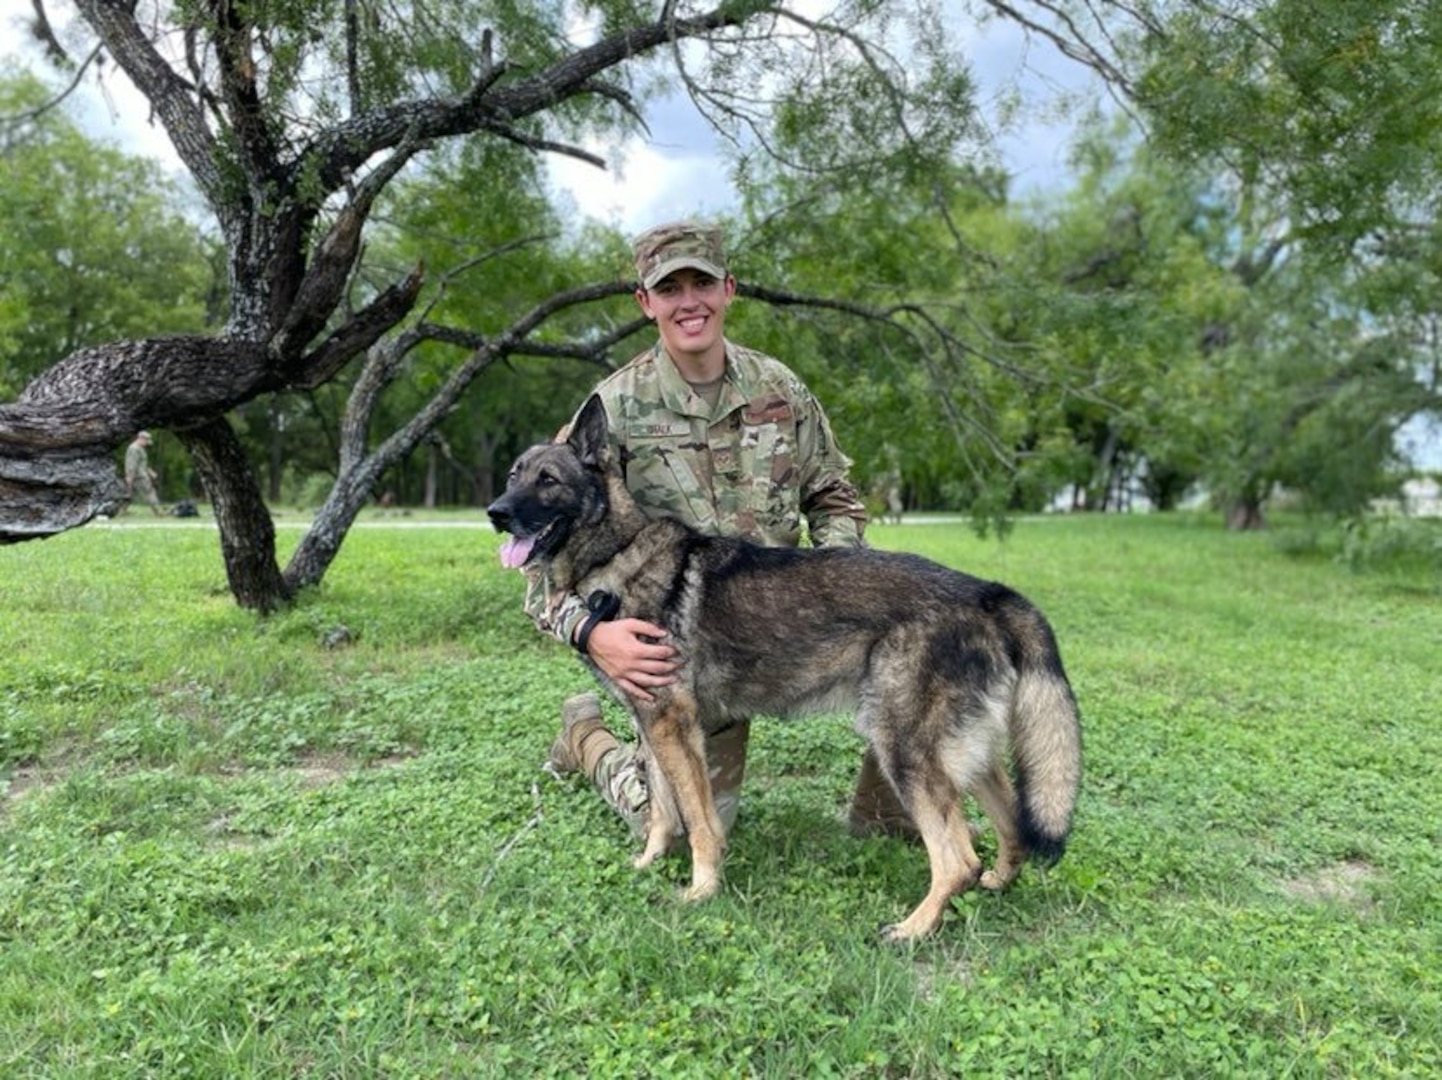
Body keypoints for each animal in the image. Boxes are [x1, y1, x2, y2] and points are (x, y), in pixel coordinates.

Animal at [487, 395, 1084, 934]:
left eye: (548, 480)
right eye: (514, 475)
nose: (495, 513)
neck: (616, 551)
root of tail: (988, 593)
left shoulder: (673, 727)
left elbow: (698, 820)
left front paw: (701, 890)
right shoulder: (654, 729)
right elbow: (661, 810)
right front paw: (648, 865)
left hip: (904, 750)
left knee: (959, 859)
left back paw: (913, 929)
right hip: (962, 755)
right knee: (1011, 828)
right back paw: (997, 884)